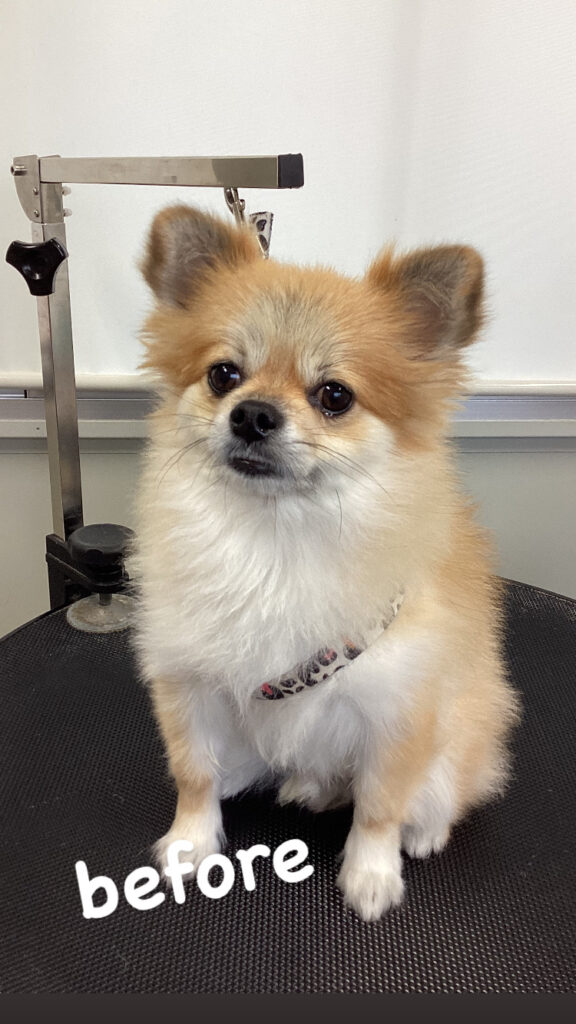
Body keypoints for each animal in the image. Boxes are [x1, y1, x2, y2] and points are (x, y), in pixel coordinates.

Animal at [132, 203, 518, 921]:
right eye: (224, 375)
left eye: (334, 395)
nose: (253, 414)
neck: (274, 541)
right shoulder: (188, 686)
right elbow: (193, 774)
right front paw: (190, 844)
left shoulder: (397, 711)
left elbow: (379, 807)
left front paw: (372, 875)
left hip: (457, 736)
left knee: (439, 791)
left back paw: (422, 830)